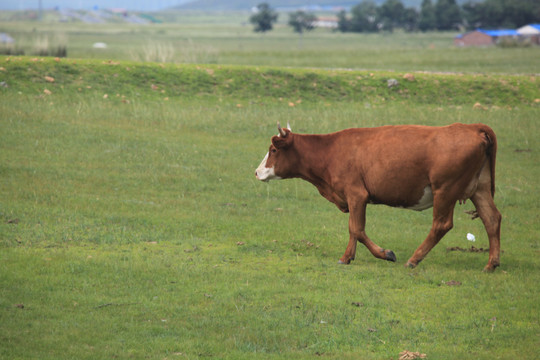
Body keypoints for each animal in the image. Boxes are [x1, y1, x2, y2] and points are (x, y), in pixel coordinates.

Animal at [255, 123, 500, 270]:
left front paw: (380, 254)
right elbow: (355, 230)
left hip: (445, 190)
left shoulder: (356, 194)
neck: (331, 151)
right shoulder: (355, 198)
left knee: (441, 225)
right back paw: (492, 263)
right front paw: (350, 256)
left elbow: (356, 229)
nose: (257, 172)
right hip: (479, 189)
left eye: (273, 150)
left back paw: (413, 260)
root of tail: (471, 127)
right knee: (492, 219)